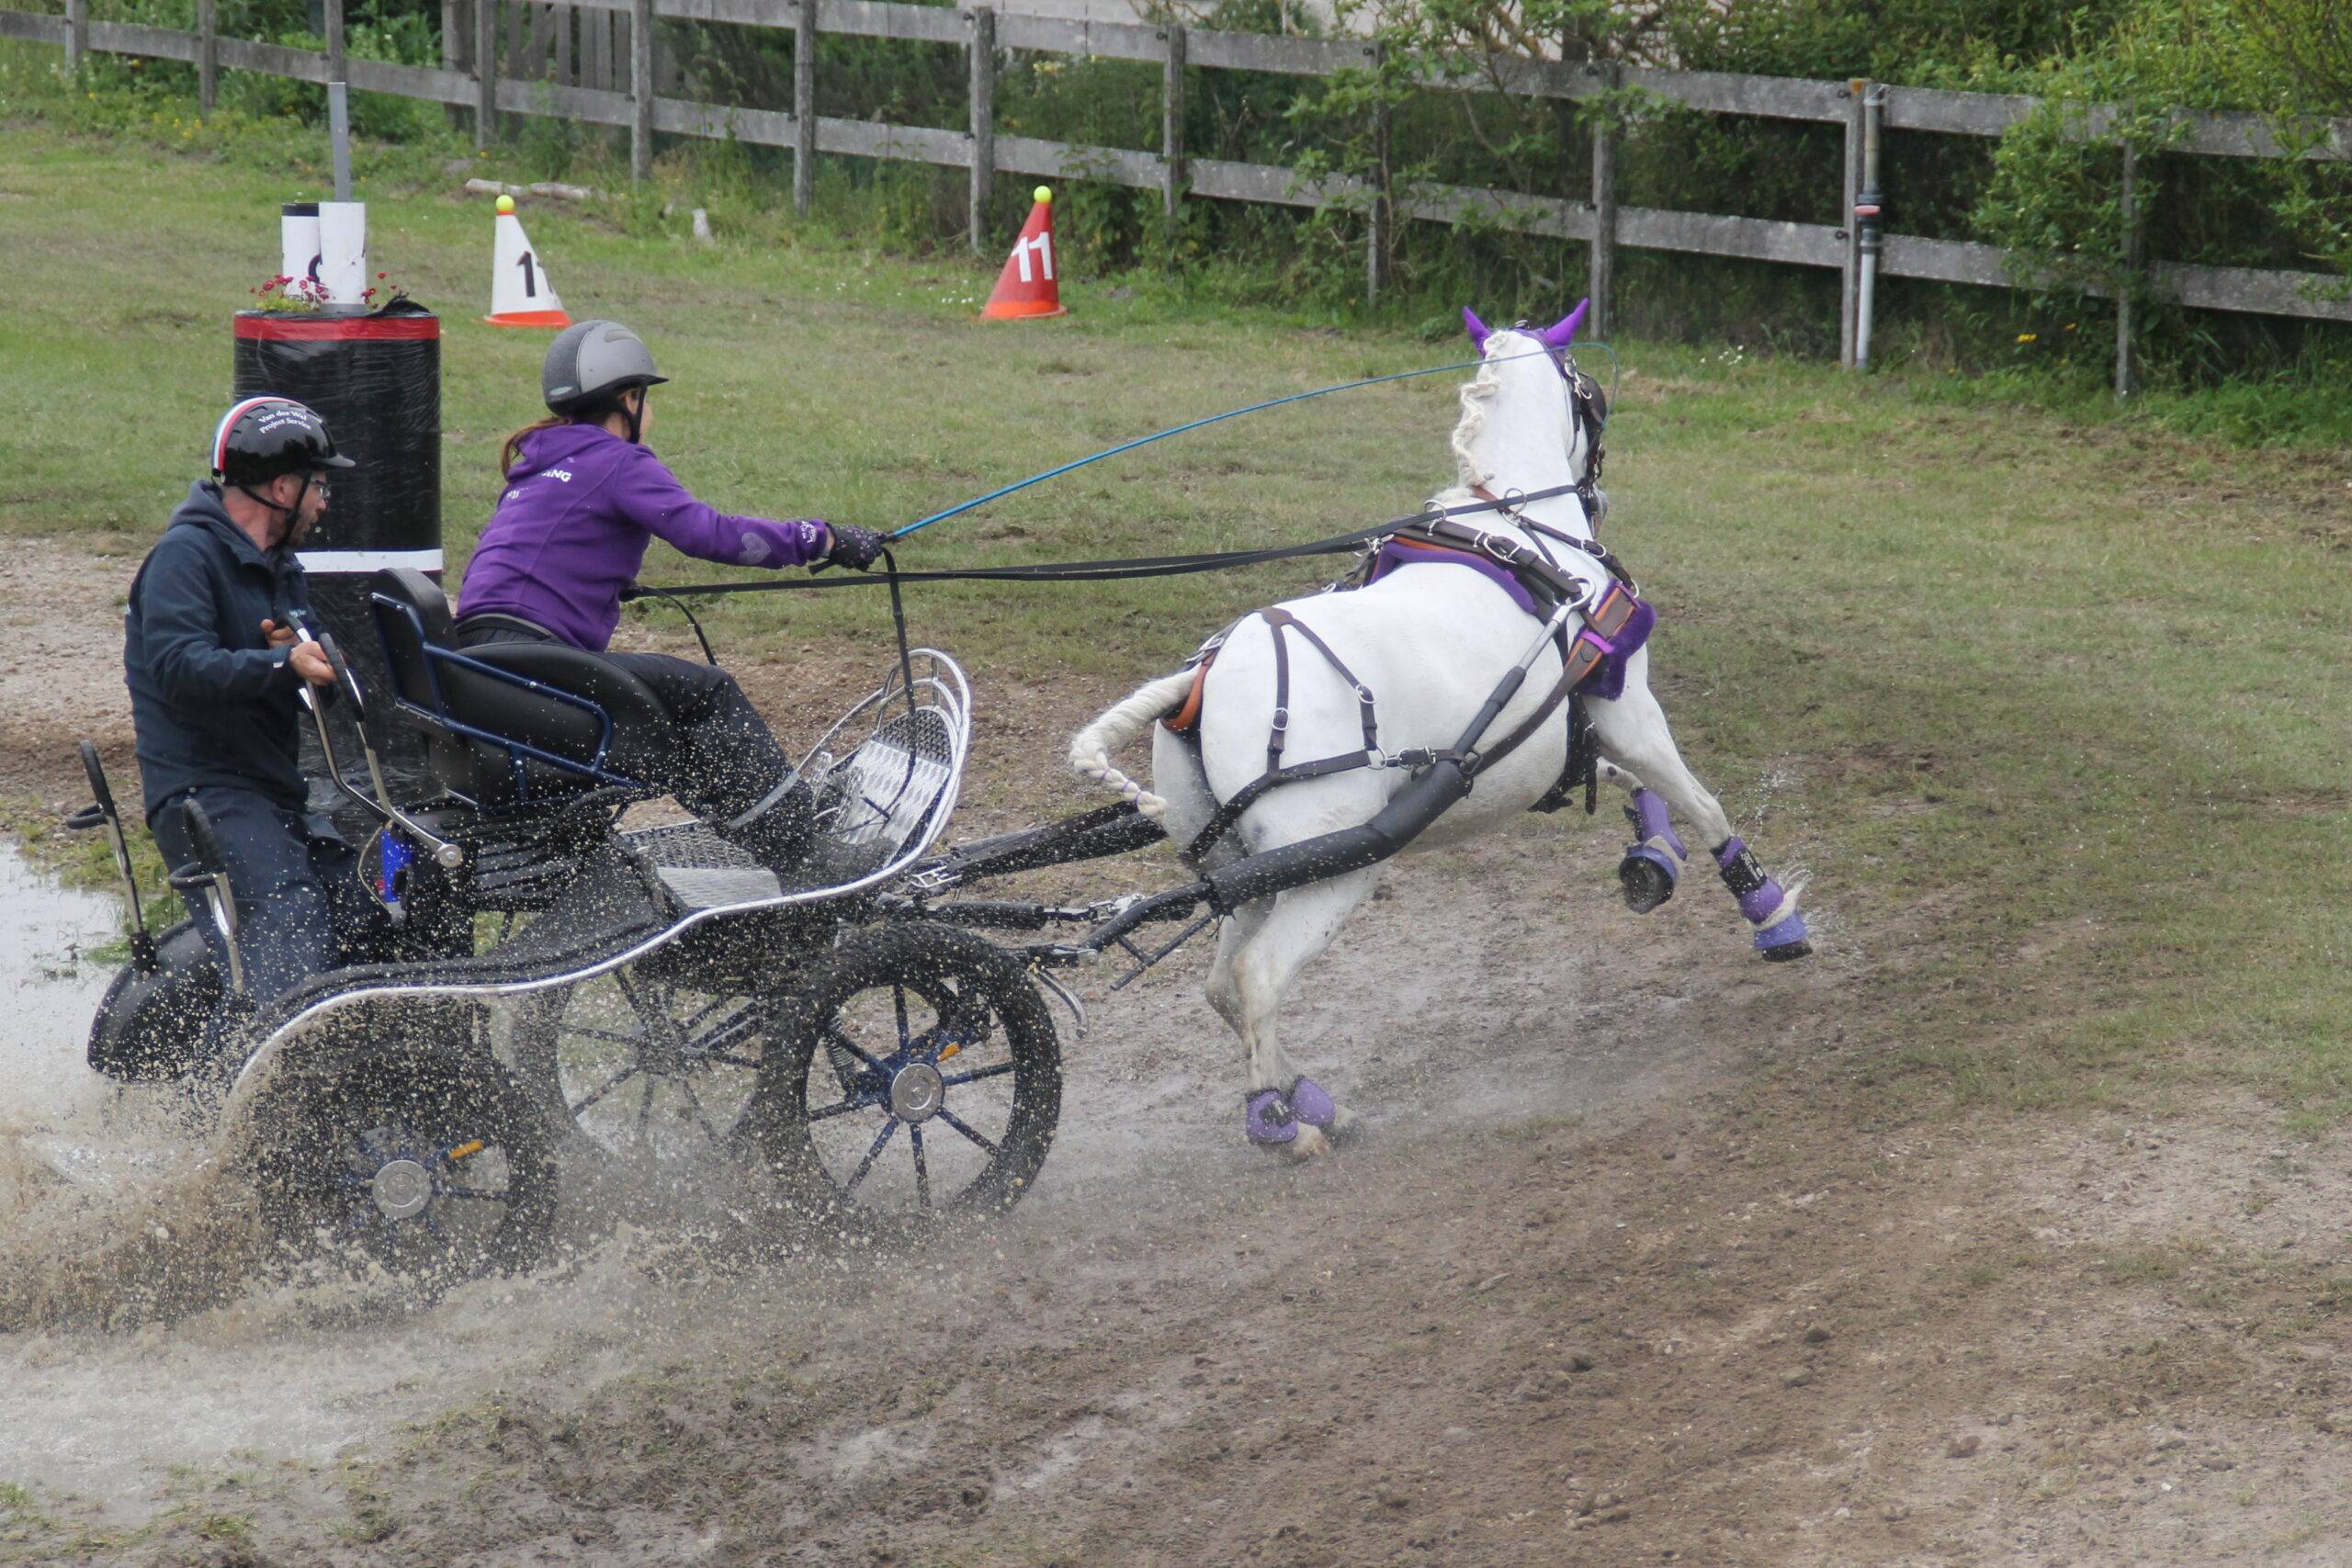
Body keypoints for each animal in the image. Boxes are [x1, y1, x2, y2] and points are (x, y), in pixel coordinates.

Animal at [1077, 305, 1806, 1161]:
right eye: (1588, 394)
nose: (1601, 488)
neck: (1518, 528)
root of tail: (1203, 680)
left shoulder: (1567, 726)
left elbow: (1637, 787)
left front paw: (1653, 853)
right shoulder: (1626, 707)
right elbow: (1701, 799)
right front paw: (1768, 910)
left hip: (1244, 866)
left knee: (1225, 984)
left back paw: (1315, 1100)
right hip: (1332, 864)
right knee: (1258, 975)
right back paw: (1279, 1121)